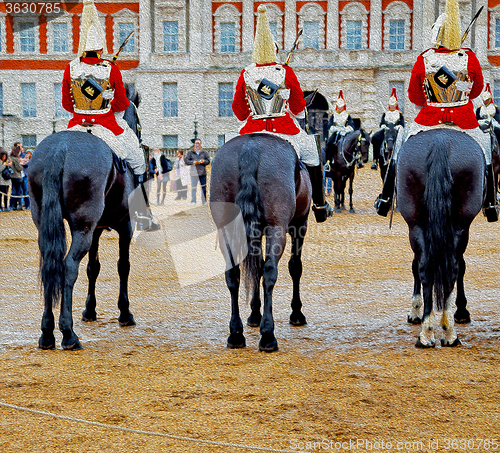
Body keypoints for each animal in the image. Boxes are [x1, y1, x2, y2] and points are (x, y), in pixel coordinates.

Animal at [27, 85, 143, 350]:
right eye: (139, 124)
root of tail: (59, 148)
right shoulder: (125, 226)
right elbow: (123, 266)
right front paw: (125, 313)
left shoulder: (97, 229)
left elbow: (94, 267)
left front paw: (90, 310)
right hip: (84, 228)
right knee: (68, 266)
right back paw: (68, 334)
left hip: (53, 226)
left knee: (51, 265)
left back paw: (47, 333)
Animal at [209, 132, 310, 352]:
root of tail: (251, 147)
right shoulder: (299, 225)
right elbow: (294, 267)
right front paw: (296, 313)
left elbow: (254, 268)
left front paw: (254, 314)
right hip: (277, 228)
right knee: (270, 271)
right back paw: (268, 335)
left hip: (226, 229)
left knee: (234, 274)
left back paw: (236, 334)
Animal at [396, 129, 486, 348]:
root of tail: (441, 140)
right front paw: (460, 310)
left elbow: (418, 266)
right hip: (457, 225)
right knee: (450, 267)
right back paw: (447, 331)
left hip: (417, 225)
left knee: (427, 267)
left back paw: (428, 333)